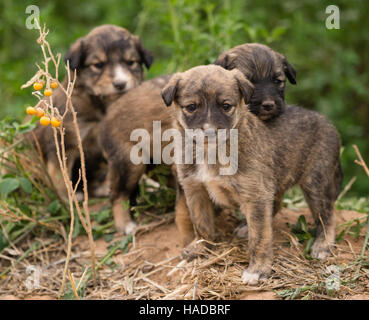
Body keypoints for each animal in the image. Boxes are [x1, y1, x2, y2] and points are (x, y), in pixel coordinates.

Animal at [31, 25, 152, 199]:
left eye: (131, 63)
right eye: (98, 65)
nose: (120, 84)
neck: (101, 107)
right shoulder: (65, 142)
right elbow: (61, 176)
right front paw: (68, 198)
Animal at [161, 65, 342, 284]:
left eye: (226, 106)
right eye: (191, 107)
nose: (210, 132)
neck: (211, 152)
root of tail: (329, 124)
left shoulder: (255, 194)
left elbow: (260, 237)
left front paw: (258, 269)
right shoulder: (196, 189)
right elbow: (201, 224)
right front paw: (200, 247)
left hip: (316, 182)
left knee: (327, 215)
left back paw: (323, 245)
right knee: (275, 206)